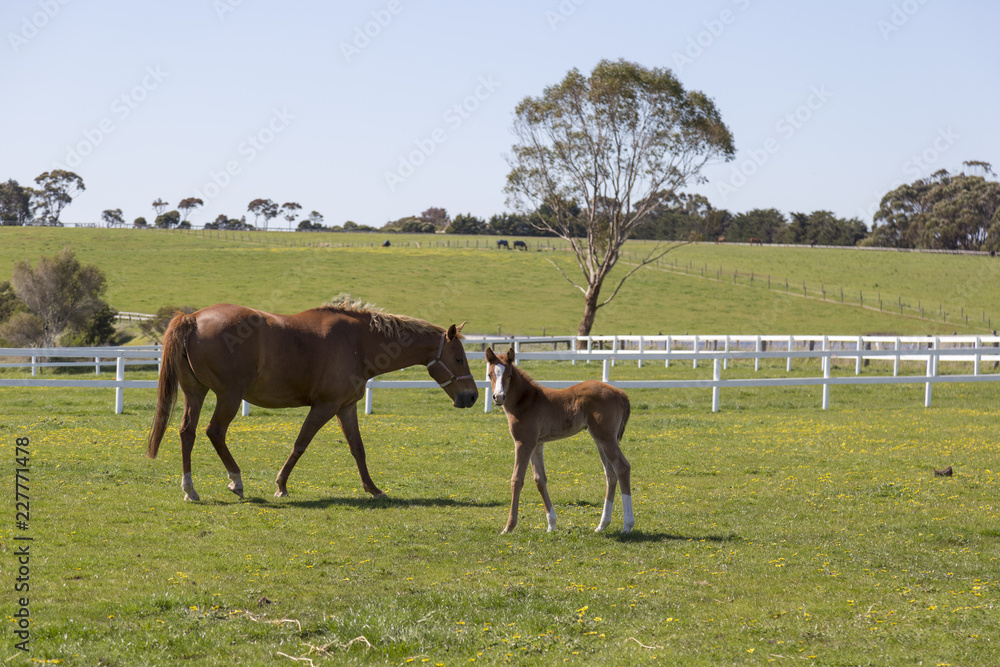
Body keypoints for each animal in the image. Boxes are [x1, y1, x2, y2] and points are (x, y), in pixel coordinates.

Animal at [145, 302, 480, 500]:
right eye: (459, 359)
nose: (473, 396)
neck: (358, 341)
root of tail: (193, 318)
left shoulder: (346, 407)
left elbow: (358, 449)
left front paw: (373, 489)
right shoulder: (325, 407)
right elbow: (301, 443)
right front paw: (281, 485)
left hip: (196, 394)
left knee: (187, 433)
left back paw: (190, 489)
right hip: (229, 396)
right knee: (214, 432)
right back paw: (235, 480)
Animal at [484, 348, 632, 536]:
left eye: (509, 375)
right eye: (489, 374)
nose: (498, 397)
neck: (527, 401)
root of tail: (621, 394)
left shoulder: (523, 442)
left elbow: (516, 479)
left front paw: (509, 526)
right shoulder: (537, 444)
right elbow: (540, 479)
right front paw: (551, 524)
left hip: (606, 438)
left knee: (622, 467)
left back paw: (627, 525)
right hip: (600, 439)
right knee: (610, 474)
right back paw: (602, 525)